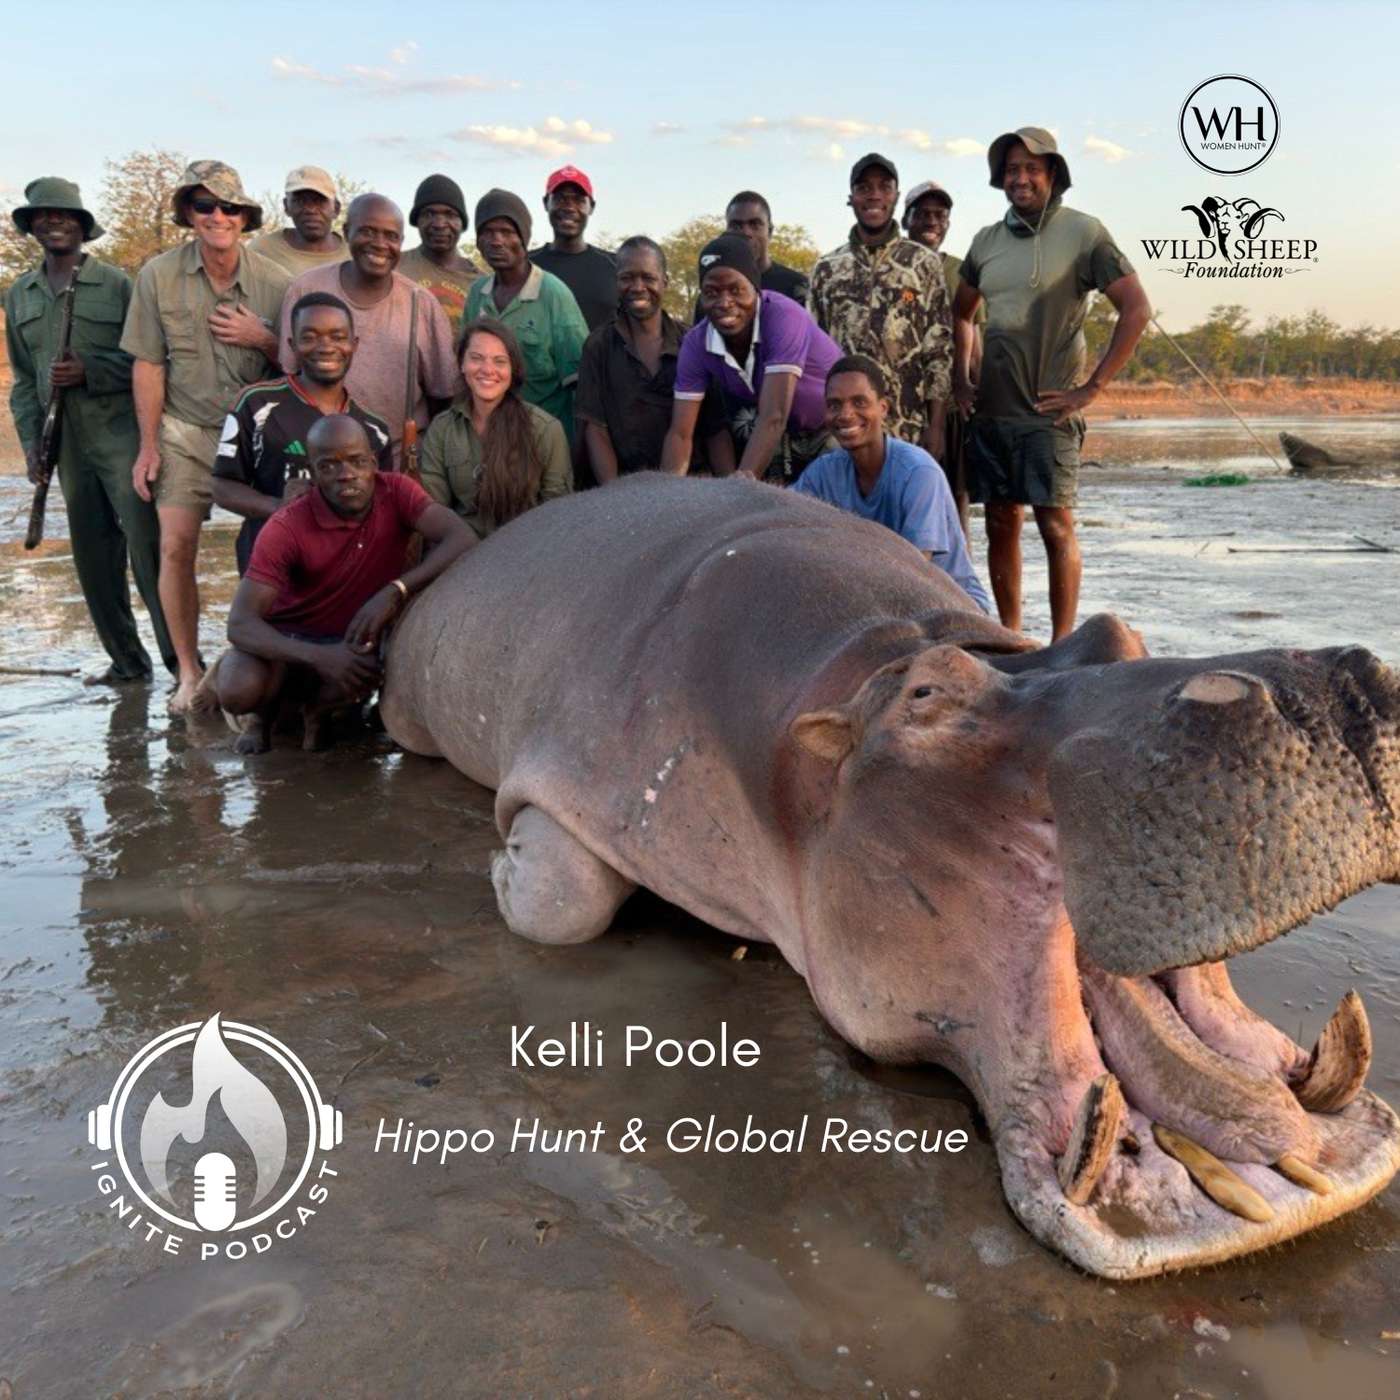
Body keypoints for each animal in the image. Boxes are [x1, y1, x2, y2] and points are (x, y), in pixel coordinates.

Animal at [381, 473, 1400, 1279]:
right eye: (927, 698)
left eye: (1120, 632)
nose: (1323, 691)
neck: (856, 675)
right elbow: (563, 901)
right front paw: (502, 863)